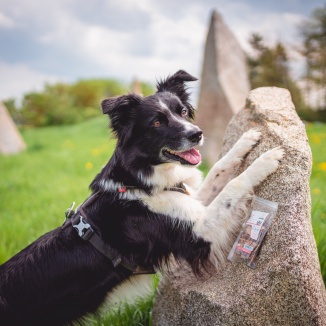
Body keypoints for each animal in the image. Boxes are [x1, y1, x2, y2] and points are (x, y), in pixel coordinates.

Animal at [0, 70, 282, 324]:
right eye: (156, 122)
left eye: (182, 112)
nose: (197, 134)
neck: (138, 183)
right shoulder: (197, 234)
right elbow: (233, 186)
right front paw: (265, 160)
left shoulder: (187, 199)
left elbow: (218, 171)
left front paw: (246, 140)